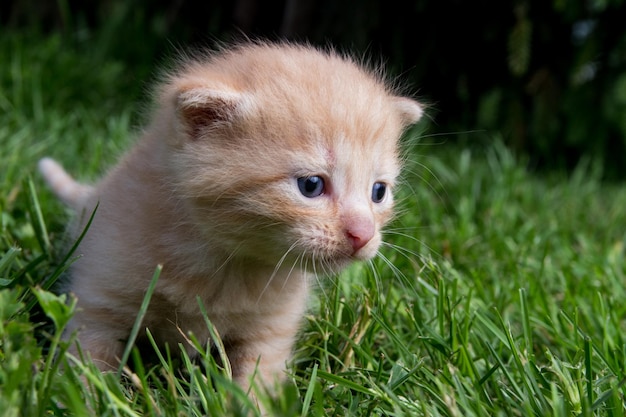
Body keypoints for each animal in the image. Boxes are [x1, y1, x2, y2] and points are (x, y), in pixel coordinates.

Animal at [37, 42, 420, 390]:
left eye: (378, 192)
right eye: (311, 185)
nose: (363, 234)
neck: (224, 264)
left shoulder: (270, 329)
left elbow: (258, 380)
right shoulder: (98, 305)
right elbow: (88, 364)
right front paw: (85, 394)